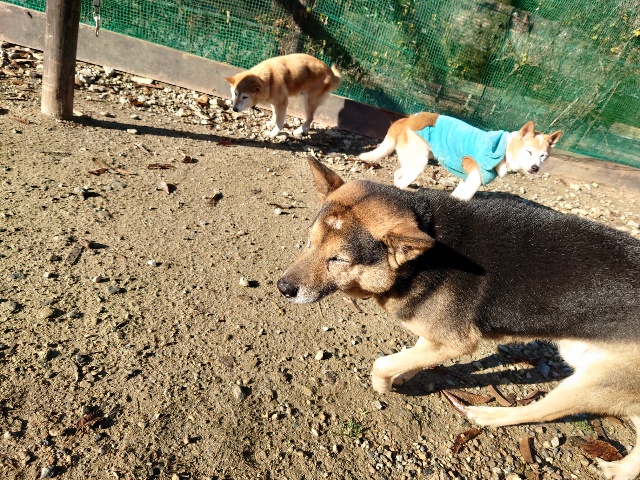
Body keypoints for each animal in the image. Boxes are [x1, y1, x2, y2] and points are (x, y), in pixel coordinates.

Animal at [278, 157, 640, 480]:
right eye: (310, 242)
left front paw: (385, 384)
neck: (422, 252)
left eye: (338, 260)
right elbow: (412, 355)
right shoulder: (437, 336)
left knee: (539, 409)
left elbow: (382, 363)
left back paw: (487, 415)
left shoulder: (458, 342)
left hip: (589, 383)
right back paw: (622, 470)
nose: (283, 287)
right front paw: (405, 373)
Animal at [358, 112, 563, 199]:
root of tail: (406, 120)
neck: (504, 149)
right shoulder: (474, 181)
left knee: (398, 175)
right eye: (529, 152)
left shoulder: (467, 181)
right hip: (419, 163)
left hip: (413, 161)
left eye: (543, 156)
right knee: (401, 180)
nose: (535, 168)